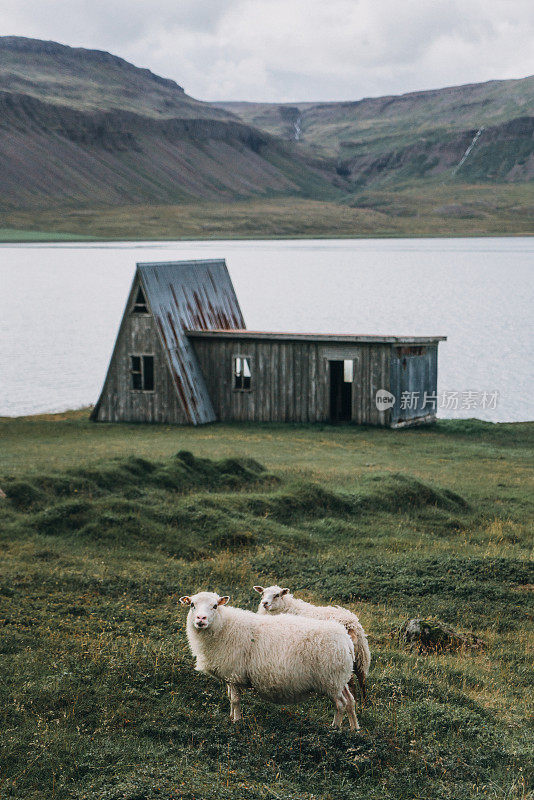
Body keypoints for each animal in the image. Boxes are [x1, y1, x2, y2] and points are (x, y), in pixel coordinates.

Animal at [179, 588, 360, 732]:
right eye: (192, 605)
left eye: (215, 606)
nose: (200, 619)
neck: (224, 627)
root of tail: (346, 639)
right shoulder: (228, 676)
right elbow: (230, 698)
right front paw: (231, 717)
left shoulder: (234, 674)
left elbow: (236, 700)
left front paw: (236, 721)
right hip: (339, 678)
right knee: (350, 701)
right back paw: (354, 729)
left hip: (331, 679)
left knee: (340, 703)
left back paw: (335, 728)